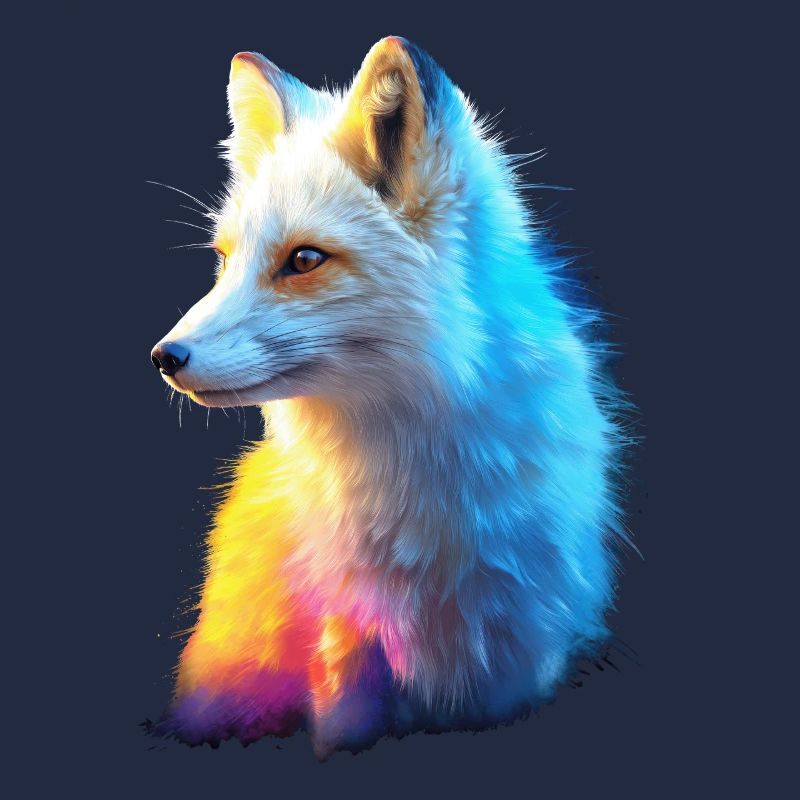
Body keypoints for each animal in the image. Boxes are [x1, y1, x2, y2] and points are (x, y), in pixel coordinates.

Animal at [150, 36, 626, 758]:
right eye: (225, 260)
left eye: (304, 260)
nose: (164, 358)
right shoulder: (344, 645)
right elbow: (341, 728)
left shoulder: (527, 646)